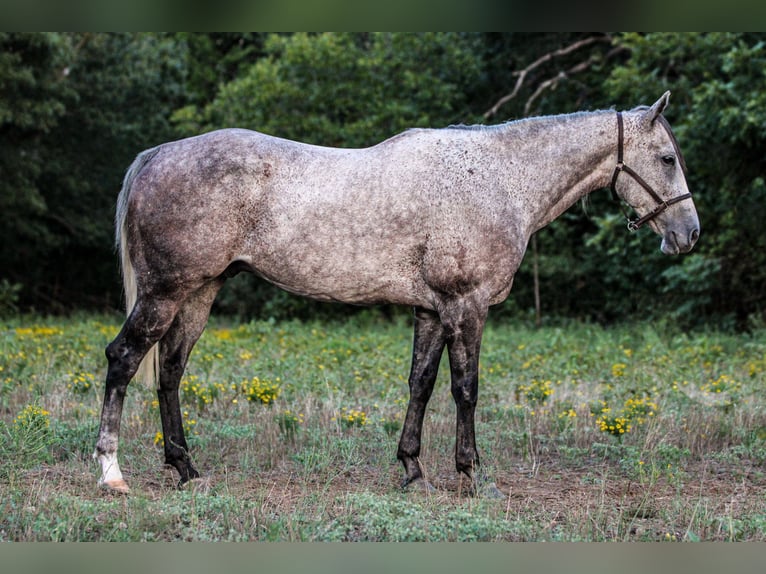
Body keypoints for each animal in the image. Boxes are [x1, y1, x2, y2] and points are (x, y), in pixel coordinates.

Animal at [93, 93, 700, 496]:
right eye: (667, 158)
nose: (689, 234)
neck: (498, 178)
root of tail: (156, 155)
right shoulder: (467, 307)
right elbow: (465, 390)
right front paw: (468, 473)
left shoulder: (431, 310)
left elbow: (421, 385)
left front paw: (412, 468)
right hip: (165, 293)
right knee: (124, 359)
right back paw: (112, 473)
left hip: (198, 294)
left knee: (170, 372)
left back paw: (186, 468)